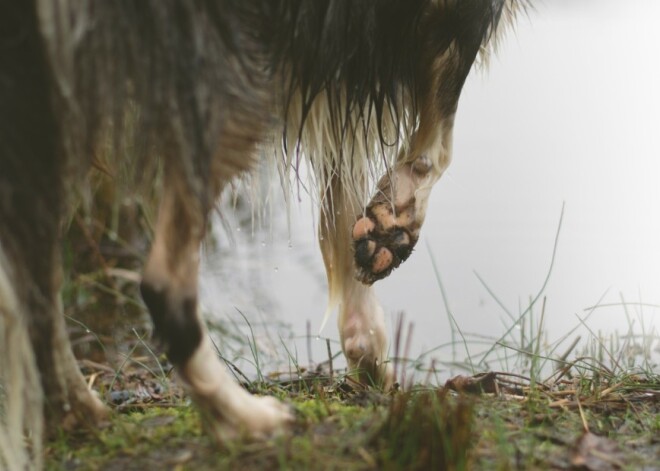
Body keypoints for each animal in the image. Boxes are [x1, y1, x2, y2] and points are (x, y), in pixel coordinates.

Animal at [0, 0, 524, 468]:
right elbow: (441, 133)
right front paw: (396, 222)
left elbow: (344, 182)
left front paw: (368, 342)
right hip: (231, 75)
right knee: (162, 283)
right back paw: (243, 419)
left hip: (48, 106)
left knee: (36, 285)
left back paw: (79, 413)